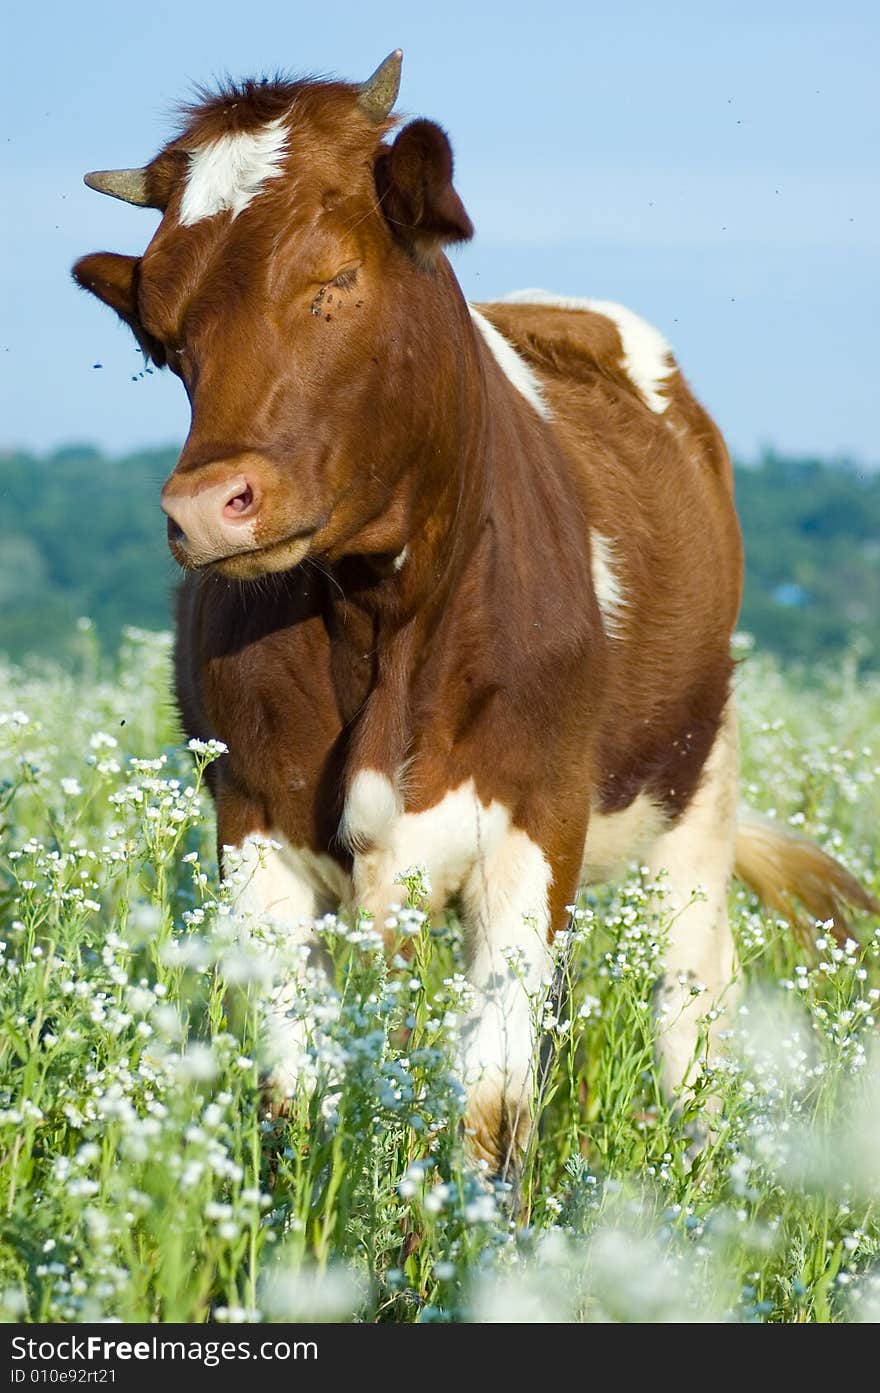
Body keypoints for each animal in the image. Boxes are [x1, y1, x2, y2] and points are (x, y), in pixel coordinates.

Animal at [77, 49, 880, 1170]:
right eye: (162, 335)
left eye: (334, 280)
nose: (206, 507)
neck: (378, 616)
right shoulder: (251, 826)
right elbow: (290, 1102)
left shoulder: (531, 827)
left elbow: (492, 1113)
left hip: (697, 787)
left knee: (692, 1001)